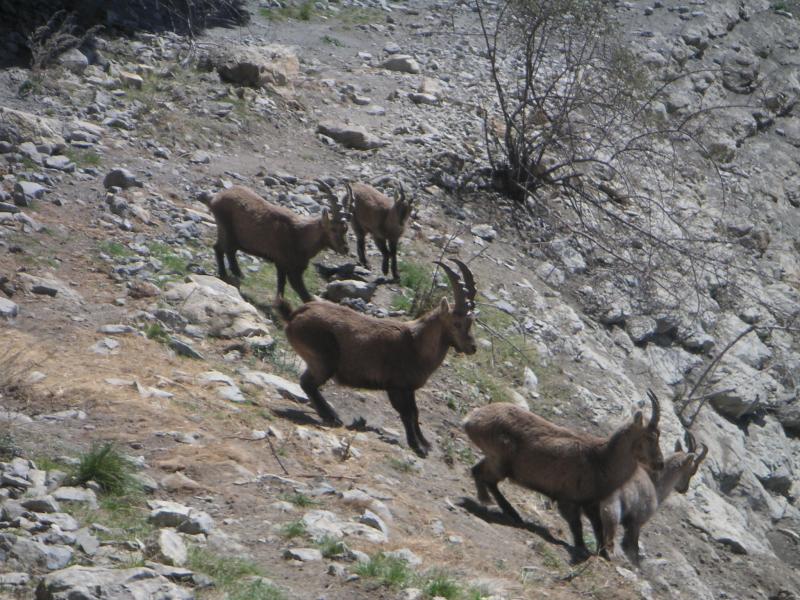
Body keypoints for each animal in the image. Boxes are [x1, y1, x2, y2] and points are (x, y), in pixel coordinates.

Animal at [209, 184, 350, 302]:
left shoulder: (282, 264)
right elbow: (302, 293)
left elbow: (281, 285)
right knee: (222, 249)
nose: (345, 248)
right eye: (333, 229)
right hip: (226, 230)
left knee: (223, 250)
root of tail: (216, 198)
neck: (300, 236)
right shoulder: (290, 267)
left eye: (346, 229)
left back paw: (238, 275)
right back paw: (225, 275)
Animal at [275, 259, 477, 457]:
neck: (416, 345)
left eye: (470, 322)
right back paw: (332, 416)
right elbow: (407, 414)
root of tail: (293, 316)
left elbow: (415, 413)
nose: (472, 347)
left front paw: (425, 443)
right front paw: (417, 446)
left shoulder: (409, 389)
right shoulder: (396, 387)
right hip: (324, 359)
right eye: (456, 323)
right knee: (307, 383)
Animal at [462, 390, 663, 556]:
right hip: (500, 461)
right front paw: (582, 548)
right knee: (484, 476)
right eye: (651, 436)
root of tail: (471, 419)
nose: (660, 464)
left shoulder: (590, 503)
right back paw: (500, 507)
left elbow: (598, 527)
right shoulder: (568, 500)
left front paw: (604, 554)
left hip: (495, 459)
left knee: (478, 471)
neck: (601, 460)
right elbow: (577, 525)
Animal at [598, 431, 708, 566]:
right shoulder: (637, 522)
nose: (684, 489)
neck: (656, 482)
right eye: (692, 471)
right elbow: (632, 549)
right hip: (613, 509)